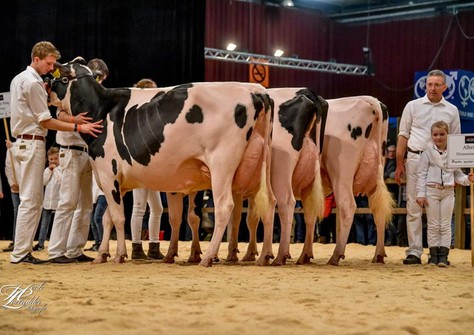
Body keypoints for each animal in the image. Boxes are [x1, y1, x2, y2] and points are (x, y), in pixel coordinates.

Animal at [49, 57, 272, 268]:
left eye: (60, 78)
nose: (47, 88)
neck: (101, 108)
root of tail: (255, 91)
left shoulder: (107, 173)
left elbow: (118, 217)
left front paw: (119, 254)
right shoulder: (115, 182)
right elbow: (107, 218)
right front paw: (102, 254)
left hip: (221, 164)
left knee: (224, 206)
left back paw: (209, 257)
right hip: (265, 165)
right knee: (269, 204)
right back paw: (264, 257)